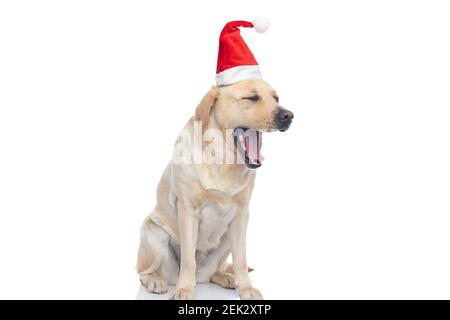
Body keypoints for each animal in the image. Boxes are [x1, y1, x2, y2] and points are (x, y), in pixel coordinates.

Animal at [135, 79, 294, 298]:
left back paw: (227, 278)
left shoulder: (242, 215)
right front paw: (184, 289)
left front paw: (246, 288)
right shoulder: (188, 211)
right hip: (153, 234)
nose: (289, 116)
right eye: (252, 97)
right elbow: (188, 260)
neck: (222, 160)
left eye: (276, 98)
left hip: (225, 238)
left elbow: (241, 260)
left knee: (216, 271)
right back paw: (156, 281)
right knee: (143, 271)